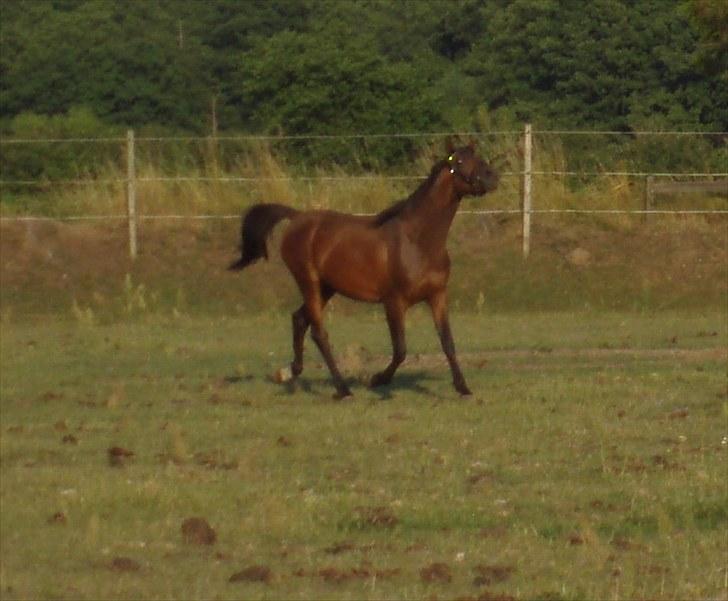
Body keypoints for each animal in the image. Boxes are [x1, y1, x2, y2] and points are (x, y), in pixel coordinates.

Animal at [230, 138, 498, 396]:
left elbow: (448, 343)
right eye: (459, 161)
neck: (417, 241)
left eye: (477, 156)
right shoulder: (394, 302)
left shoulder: (437, 295)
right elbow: (400, 350)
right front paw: (377, 380)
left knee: (299, 319)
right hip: (308, 281)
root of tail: (296, 217)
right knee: (318, 333)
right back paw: (342, 389)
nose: (492, 177)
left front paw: (463, 387)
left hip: (327, 288)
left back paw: (288, 372)